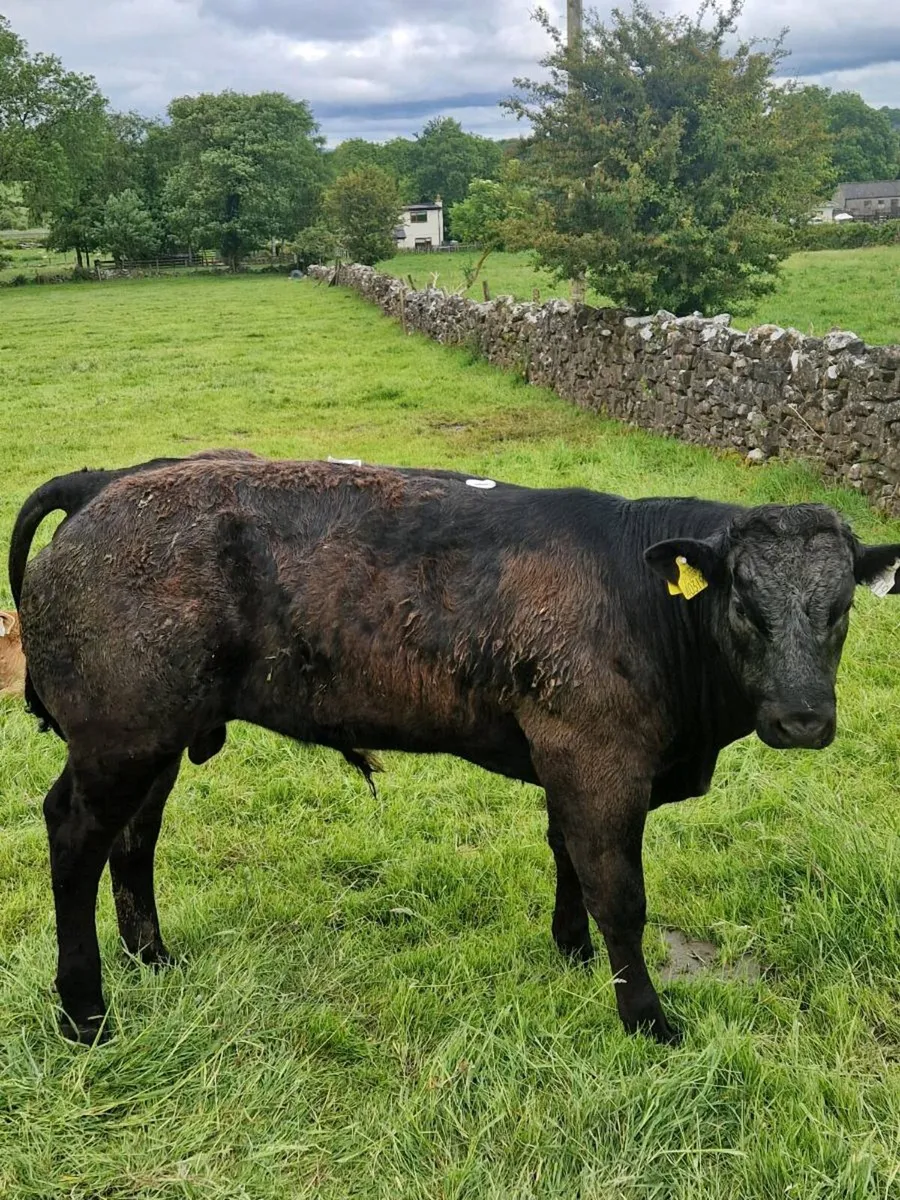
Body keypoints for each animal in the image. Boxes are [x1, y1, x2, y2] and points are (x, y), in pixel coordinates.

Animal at [12, 457, 900, 1046]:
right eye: (744, 602)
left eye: (842, 607)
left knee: (134, 839)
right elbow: (620, 893)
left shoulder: (564, 754)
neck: (638, 598)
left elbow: (568, 857)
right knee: (74, 835)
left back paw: (154, 958)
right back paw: (85, 1012)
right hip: (120, 735)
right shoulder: (599, 757)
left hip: (157, 734)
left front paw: (572, 951)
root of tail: (106, 481)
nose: (802, 719)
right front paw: (646, 1018)